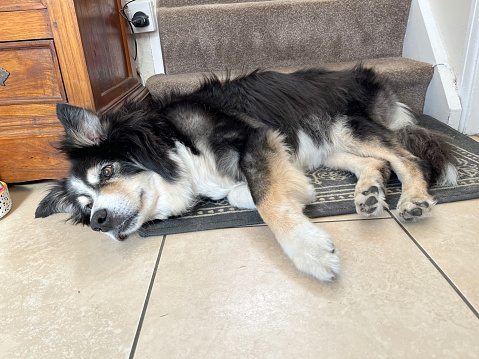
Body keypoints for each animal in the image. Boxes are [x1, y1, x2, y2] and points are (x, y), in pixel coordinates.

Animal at [35, 67, 460, 282]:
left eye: (107, 170)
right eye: (85, 205)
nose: (98, 221)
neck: (174, 143)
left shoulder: (255, 137)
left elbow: (265, 198)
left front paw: (308, 251)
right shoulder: (275, 150)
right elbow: (249, 191)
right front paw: (302, 193)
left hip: (342, 124)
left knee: (405, 156)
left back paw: (413, 199)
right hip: (324, 142)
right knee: (376, 163)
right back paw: (369, 193)